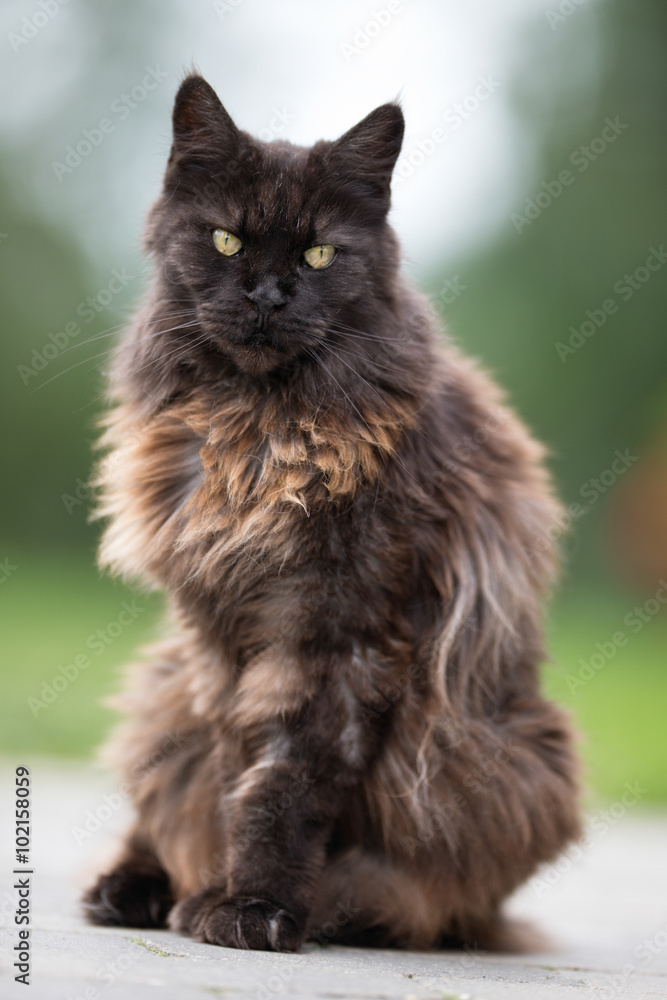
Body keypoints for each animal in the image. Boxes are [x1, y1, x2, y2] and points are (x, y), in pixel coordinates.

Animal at [83, 74, 580, 948]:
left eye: (319, 253)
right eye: (225, 242)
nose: (266, 296)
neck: (256, 429)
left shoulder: (339, 630)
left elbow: (283, 784)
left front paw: (253, 906)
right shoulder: (216, 636)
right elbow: (230, 772)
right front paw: (221, 895)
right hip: (163, 687)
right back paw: (129, 890)